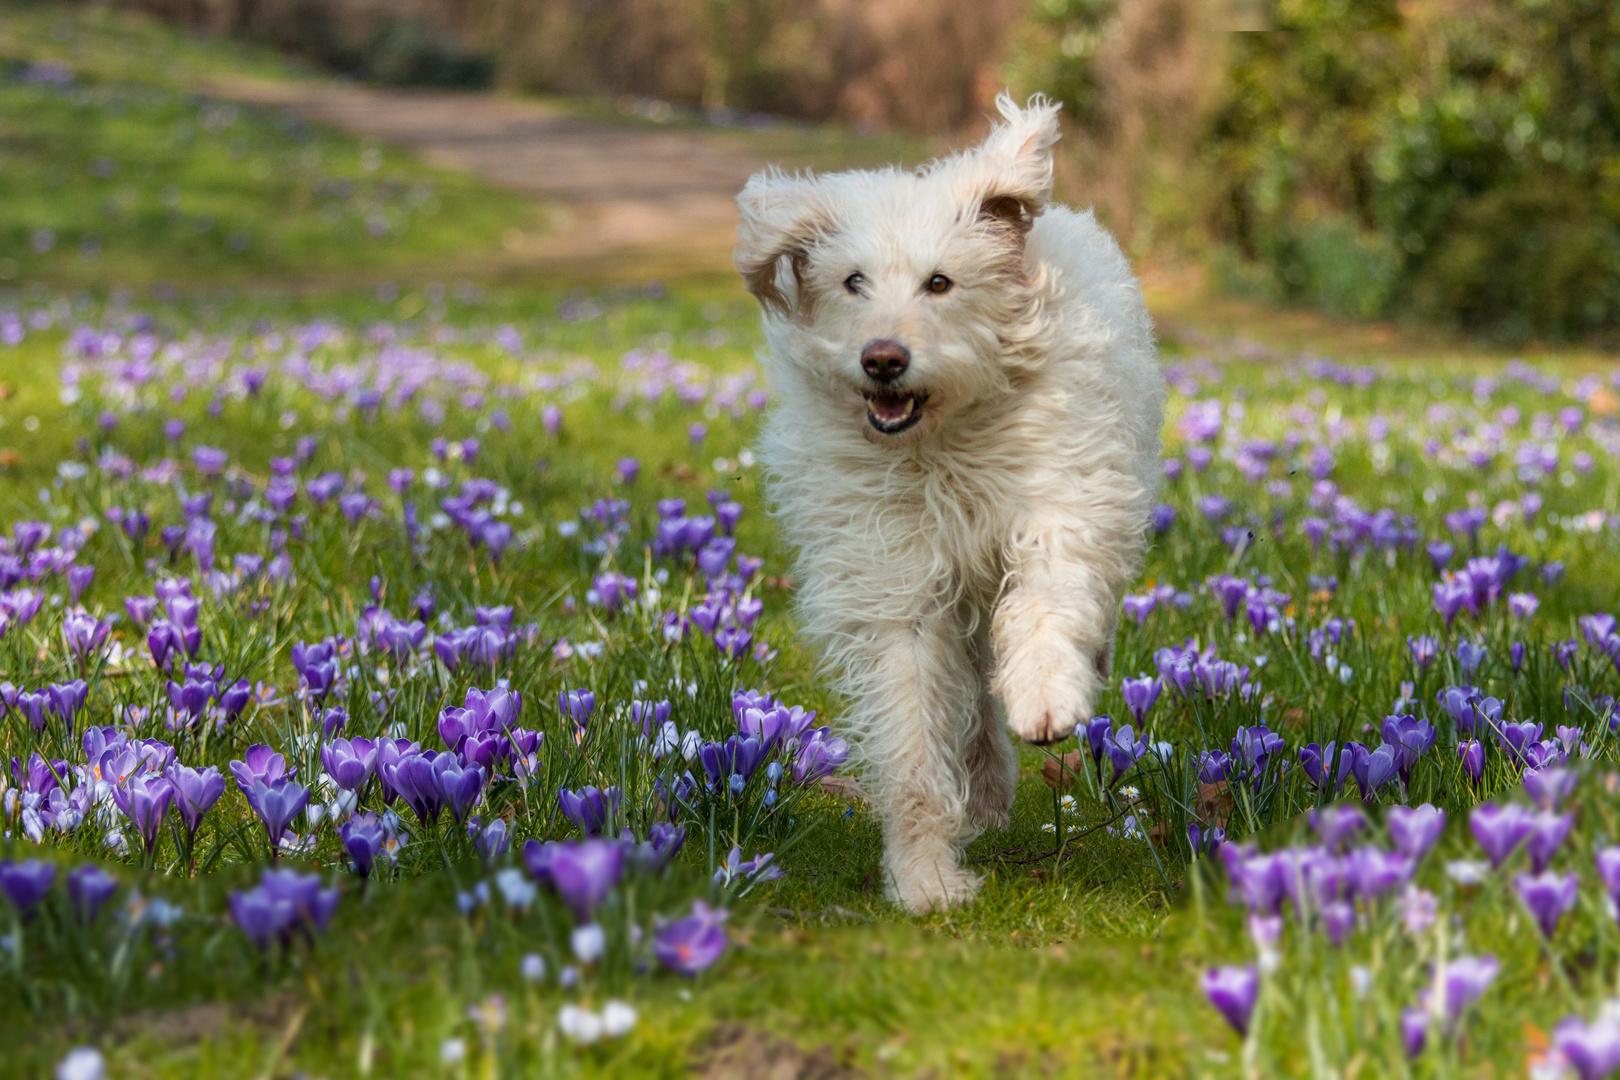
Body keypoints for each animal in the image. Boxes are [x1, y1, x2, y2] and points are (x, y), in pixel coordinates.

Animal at [735, 93, 1166, 913]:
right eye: (853, 282)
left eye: (939, 283)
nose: (883, 359)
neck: (942, 444)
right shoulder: (895, 583)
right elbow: (913, 735)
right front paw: (926, 877)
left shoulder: (1059, 500)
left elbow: (1045, 604)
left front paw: (1045, 695)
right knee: (973, 706)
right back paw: (988, 789)